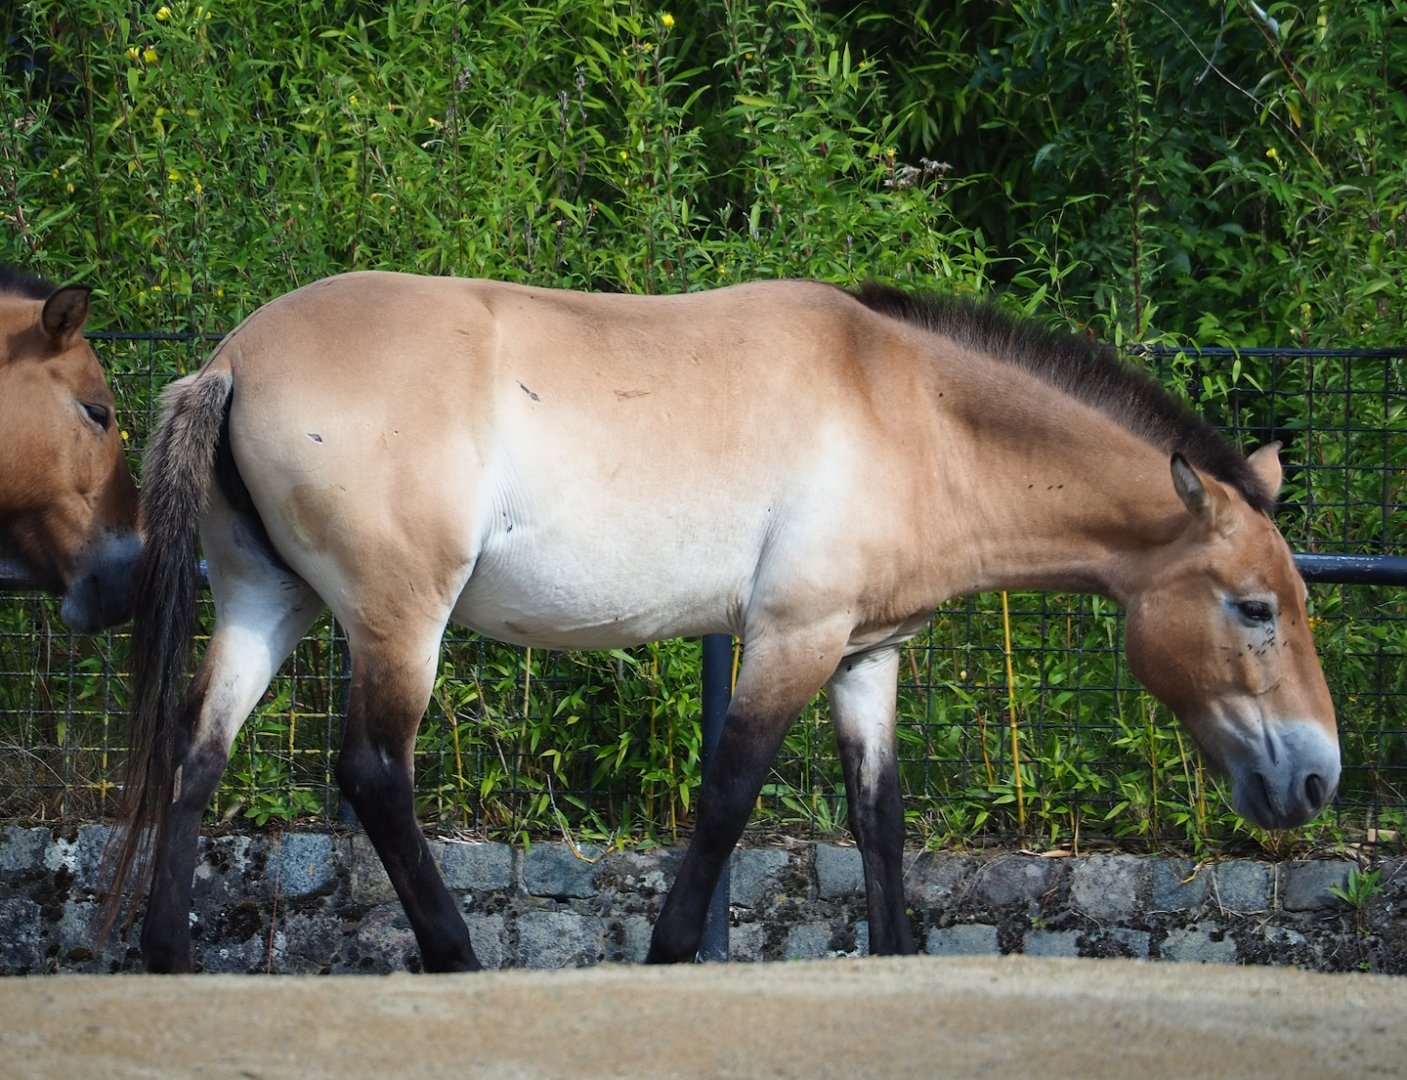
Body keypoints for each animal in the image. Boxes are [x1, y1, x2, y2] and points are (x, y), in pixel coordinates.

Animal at [101, 272, 1340, 971]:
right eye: (1253, 608)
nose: (1315, 778)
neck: (911, 409)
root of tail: (229, 361)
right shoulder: (790, 637)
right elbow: (727, 798)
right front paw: (667, 955)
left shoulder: (863, 657)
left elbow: (880, 819)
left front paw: (896, 957)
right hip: (399, 621)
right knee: (372, 775)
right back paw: (455, 959)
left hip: (268, 604)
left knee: (197, 753)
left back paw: (168, 959)